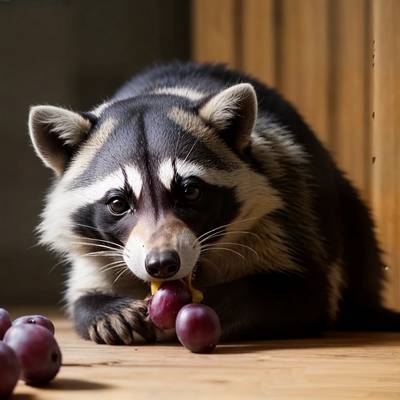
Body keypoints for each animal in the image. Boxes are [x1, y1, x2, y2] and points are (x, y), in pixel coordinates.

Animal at [28, 61, 400, 344]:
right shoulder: (95, 248)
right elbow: (81, 294)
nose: (162, 263)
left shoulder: (289, 205)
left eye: (190, 192)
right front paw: (102, 308)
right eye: (118, 203)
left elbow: (303, 292)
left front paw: (213, 304)